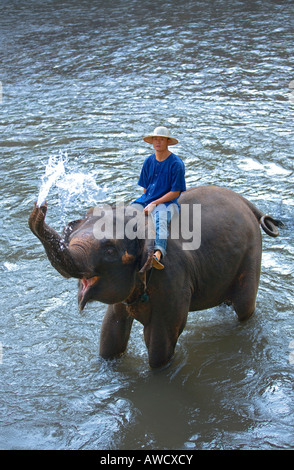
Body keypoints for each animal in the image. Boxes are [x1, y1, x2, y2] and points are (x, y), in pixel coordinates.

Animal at [28, 185, 282, 370]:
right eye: (70, 236)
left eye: (110, 250)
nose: (40, 207)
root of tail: (248, 203)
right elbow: (110, 332)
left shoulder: (172, 279)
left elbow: (159, 343)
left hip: (251, 253)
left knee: (244, 307)